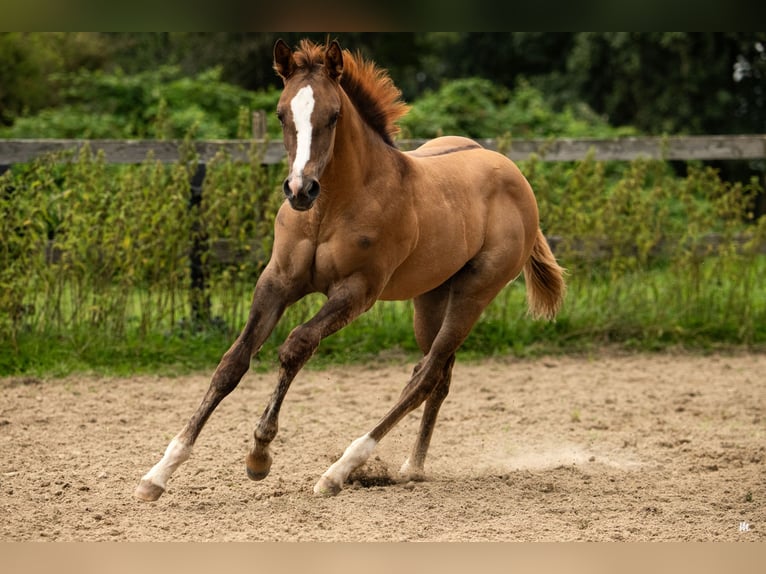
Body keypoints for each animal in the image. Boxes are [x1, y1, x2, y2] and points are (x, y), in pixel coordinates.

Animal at [135, 38, 568, 502]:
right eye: (281, 113)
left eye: (334, 115)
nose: (299, 190)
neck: (330, 210)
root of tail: (515, 176)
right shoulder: (277, 281)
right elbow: (234, 361)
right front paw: (159, 473)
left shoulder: (357, 291)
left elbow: (296, 345)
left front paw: (259, 454)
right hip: (430, 298)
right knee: (440, 375)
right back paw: (412, 467)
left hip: (475, 293)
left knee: (425, 374)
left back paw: (339, 470)